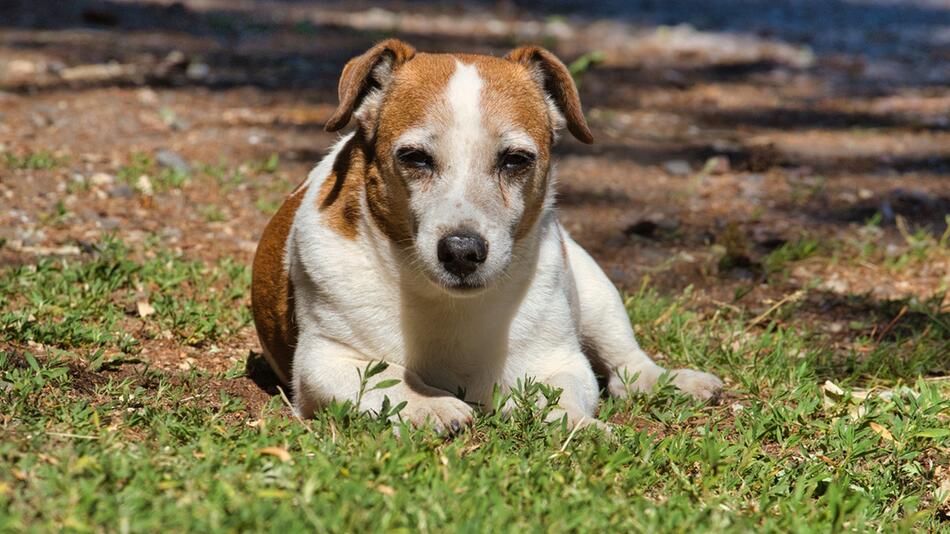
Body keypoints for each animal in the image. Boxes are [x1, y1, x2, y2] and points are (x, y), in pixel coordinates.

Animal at [253, 39, 720, 434]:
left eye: (515, 160)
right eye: (414, 158)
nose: (462, 251)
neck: (445, 303)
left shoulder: (560, 362)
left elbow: (561, 396)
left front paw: (575, 425)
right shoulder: (323, 362)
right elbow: (387, 378)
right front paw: (430, 405)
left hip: (595, 289)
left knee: (626, 364)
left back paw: (672, 380)